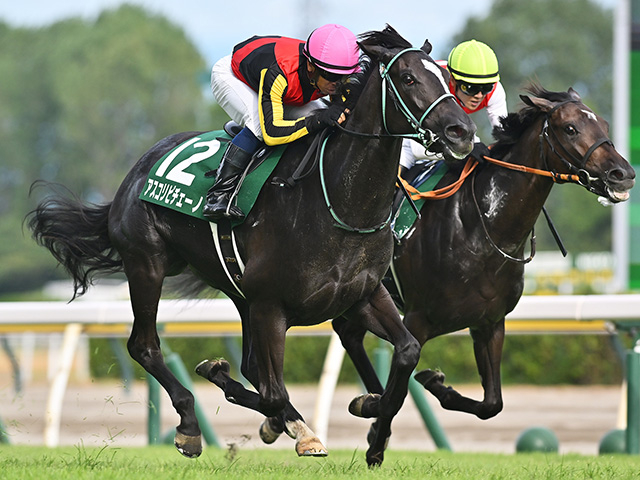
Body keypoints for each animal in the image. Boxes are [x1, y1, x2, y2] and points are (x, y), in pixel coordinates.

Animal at [26, 26, 476, 464]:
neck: (341, 204)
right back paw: (193, 425)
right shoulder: (270, 305)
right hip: (147, 264)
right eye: (408, 78)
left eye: (445, 78)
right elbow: (274, 393)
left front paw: (370, 413)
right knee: (146, 346)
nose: (462, 131)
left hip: (236, 291)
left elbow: (406, 353)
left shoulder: (363, 294)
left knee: (248, 366)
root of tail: (135, 172)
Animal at [330, 84, 636, 430]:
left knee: (348, 332)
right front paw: (375, 428)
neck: (482, 228)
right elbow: (396, 396)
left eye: (605, 125)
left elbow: (492, 403)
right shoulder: (417, 320)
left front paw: (435, 384)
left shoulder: (489, 323)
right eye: (570, 128)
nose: (623, 174)